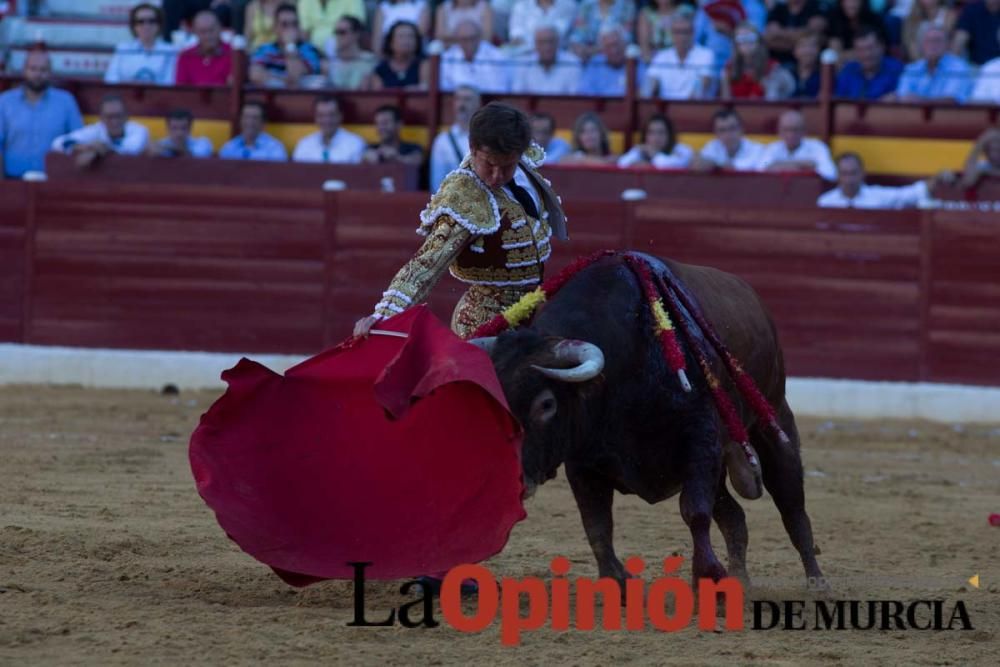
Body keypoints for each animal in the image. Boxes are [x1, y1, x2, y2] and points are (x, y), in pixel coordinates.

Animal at [472, 252, 824, 588]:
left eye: (546, 404)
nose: (512, 478)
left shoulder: (700, 442)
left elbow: (694, 511)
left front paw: (708, 575)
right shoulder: (581, 460)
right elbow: (596, 524)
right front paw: (617, 579)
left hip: (773, 419)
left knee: (792, 507)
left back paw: (815, 581)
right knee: (734, 516)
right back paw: (741, 580)